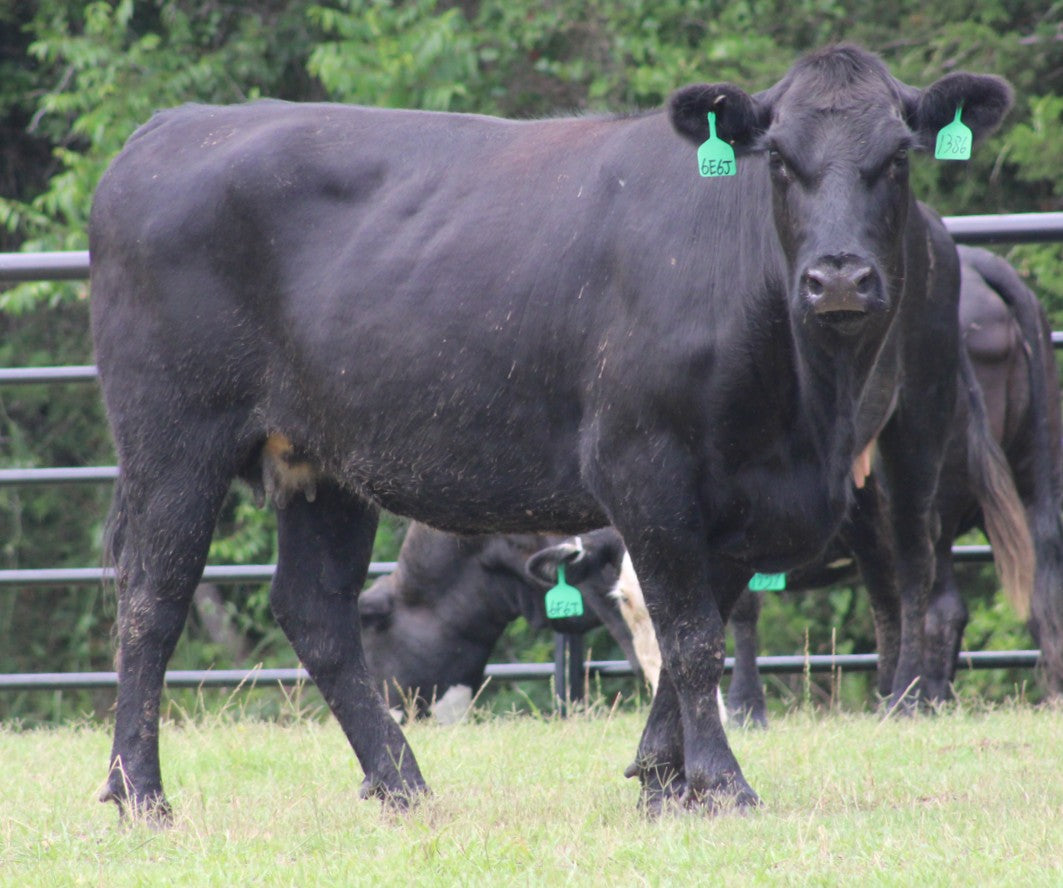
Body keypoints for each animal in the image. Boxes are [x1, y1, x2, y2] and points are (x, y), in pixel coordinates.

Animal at [89, 44, 1011, 819]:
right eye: (780, 159)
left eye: (898, 158)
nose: (838, 278)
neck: (801, 412)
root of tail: (173, 126)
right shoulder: (643, 466)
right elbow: (690, 637)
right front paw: (719, 784)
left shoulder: (740, 501)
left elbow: (692, 631)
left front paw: (661, 779)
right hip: (172, 437)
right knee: (151, 599)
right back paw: (141, 795)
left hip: (323, 461)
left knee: (314, 608)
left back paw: (401, 784)